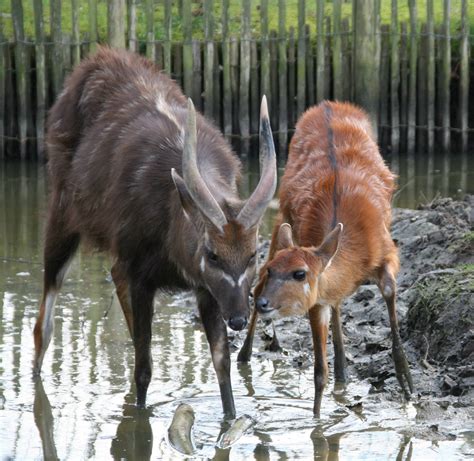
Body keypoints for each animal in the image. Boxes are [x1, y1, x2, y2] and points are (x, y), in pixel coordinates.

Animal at [34, 47, 278, 416]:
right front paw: (138, 416)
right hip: (62, 211)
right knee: (44, 324)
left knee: (112, 279)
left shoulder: (204, 289)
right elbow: (143, 370)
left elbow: (222, 364)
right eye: (212, 254)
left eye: (253, 255)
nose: (238, 318)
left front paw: (232, 420)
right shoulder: (142, 277)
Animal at [239, 101, 412, 416]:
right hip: (282, 220)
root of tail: (326, 104)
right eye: (271, 271)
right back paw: (244, 357)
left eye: (300, 273)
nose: (263, 303)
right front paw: (318, 421)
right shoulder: (316, 299)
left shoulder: (388, 253)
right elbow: (320, 371)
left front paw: (408, 387)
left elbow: (390, 293)